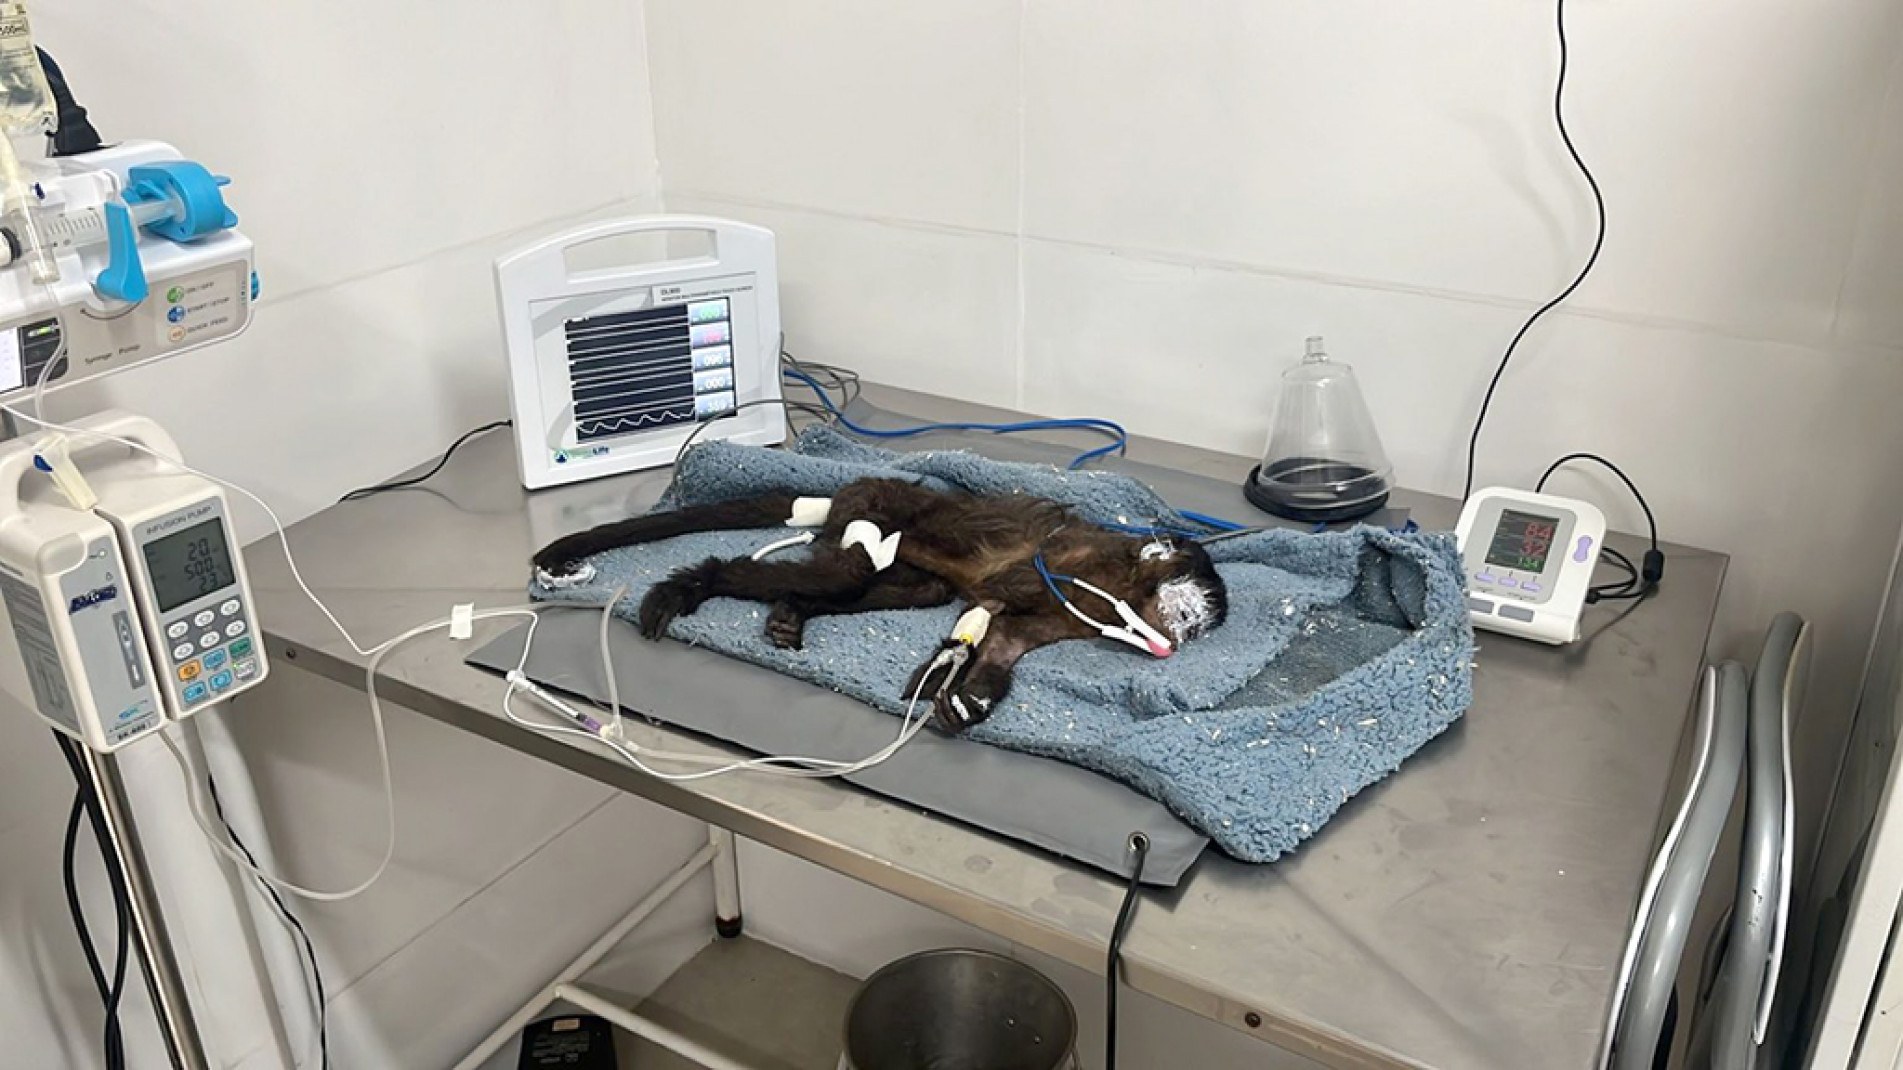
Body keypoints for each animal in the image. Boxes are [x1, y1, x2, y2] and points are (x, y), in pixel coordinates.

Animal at [531, 478, 1229, 733]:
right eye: (1186, 616)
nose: (1177, 641)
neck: (1124, 585)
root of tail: (846, 487)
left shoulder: (1078, 612)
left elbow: (1006, 640)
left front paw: (968, 699)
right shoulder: (1079, 567)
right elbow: (1004, 595)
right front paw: (949, 667)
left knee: (905, 587)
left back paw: (791, 611)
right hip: (873, 512)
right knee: (845, 573)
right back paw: (691, 586)